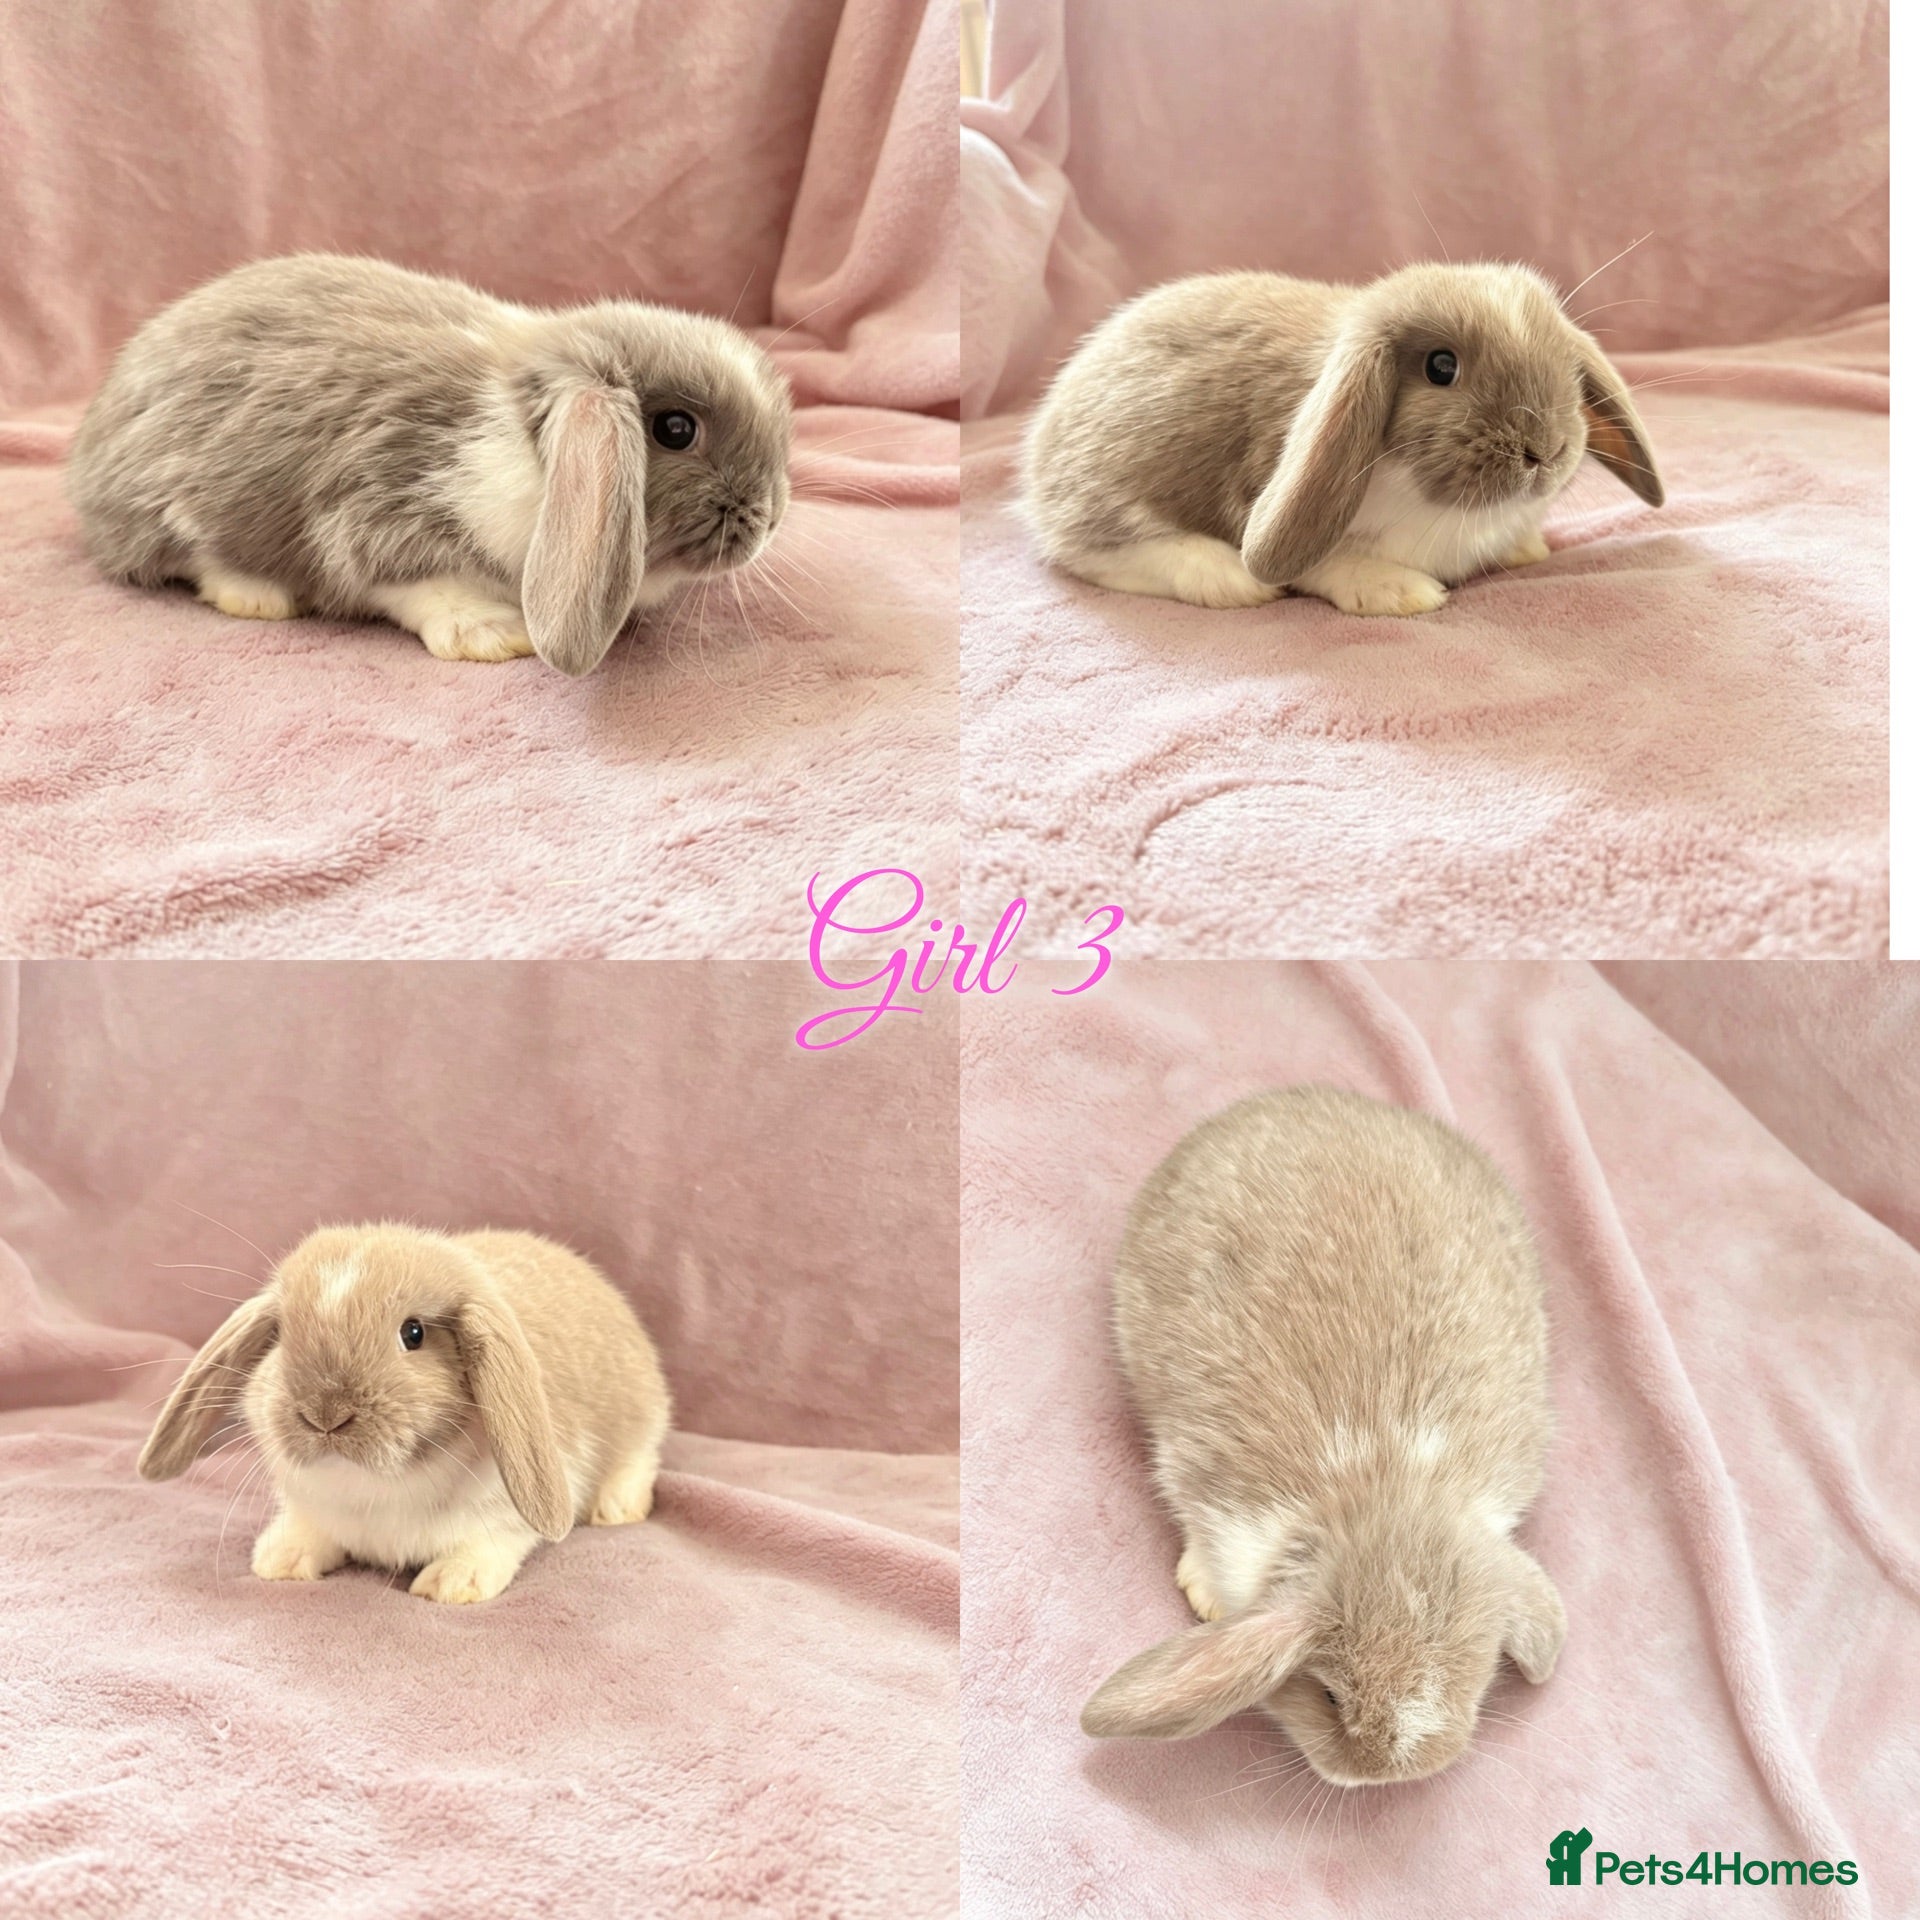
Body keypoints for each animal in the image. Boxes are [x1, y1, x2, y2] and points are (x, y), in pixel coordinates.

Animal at [67, 254, 792, 675]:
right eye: (675, 429)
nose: (771, 516)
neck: (526, 457)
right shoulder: (377, 515)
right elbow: (419, 586)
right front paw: (494, 636)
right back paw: (259, 596)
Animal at [137, 1223, 672, 1603]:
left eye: (413, 1333)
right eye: (282, 1336)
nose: (324, 1415)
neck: (375, 1485)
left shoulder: (511, 1511)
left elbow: (493, 1540)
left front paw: (451, 1584)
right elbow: (308, 1528)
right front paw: (279, 1559)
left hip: (642, 1414)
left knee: (640, 1457)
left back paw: (616, 1510)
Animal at [1024, 261, 1662, 616]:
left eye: (1567, 369)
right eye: (1440, 367)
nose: (1545, 450)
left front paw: (1527, 548)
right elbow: (1323, 564)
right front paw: (1399, 592)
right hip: (1115, 483)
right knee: (1092, 549)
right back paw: (1228, 580)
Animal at [1080, 1086, 1564, 1785]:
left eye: (1475, 1679)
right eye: (1329, 1695)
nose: (1377, 1776)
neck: (1389, 1483)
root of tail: (1296, 1097)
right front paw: (1204, 1596)